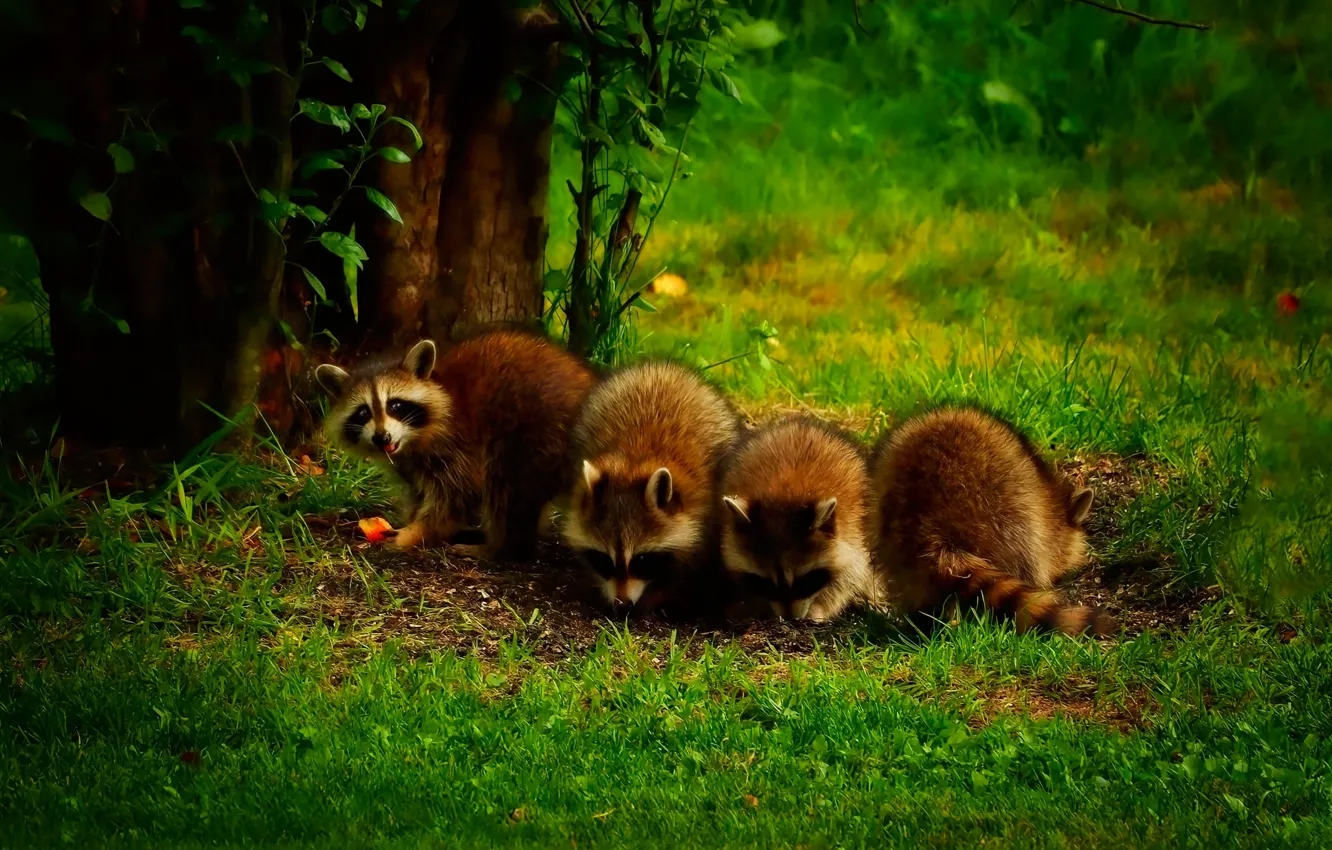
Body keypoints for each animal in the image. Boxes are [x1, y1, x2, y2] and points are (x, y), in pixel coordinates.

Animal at [315, 328, 596, 560]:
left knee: (506, 487)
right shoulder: (408, 461)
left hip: (532, 432)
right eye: (363, 412)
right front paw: (415, 520)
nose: (382, 438)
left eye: (395, 405)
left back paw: (502, 547)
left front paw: (416, 531)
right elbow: (418, 491)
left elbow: (458, 493)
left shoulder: (456, 442)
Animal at [563, 360, 740, 609]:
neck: (635, 459)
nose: (622, 604)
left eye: (642, 560)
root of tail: (660, 367)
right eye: (604, 560)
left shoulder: (706, 511)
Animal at [719, 416, 875, 622]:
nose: (790, 620)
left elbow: (848, 576)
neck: (784, 494)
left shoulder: (852, 531)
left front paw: (820, 607)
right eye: (765, 583)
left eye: (806, 581)